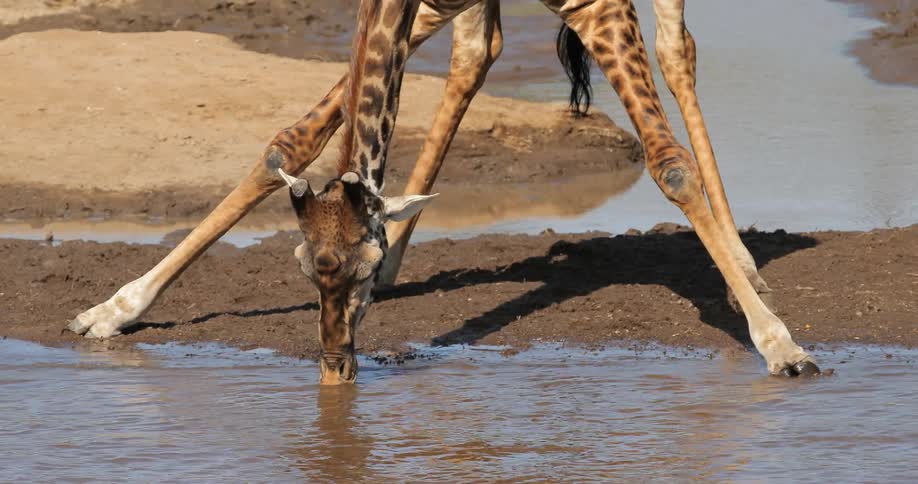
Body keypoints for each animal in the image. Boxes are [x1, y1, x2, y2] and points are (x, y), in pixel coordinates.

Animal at [68, 0, 821, 382]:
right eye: (303, 270)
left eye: (358, 271)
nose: (336, 368)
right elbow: (290, 143)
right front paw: (114, 309)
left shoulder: (597, 2)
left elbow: (668, 165)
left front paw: (780, 344)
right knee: (477, 53)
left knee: (677, 49)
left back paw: (743, 266)